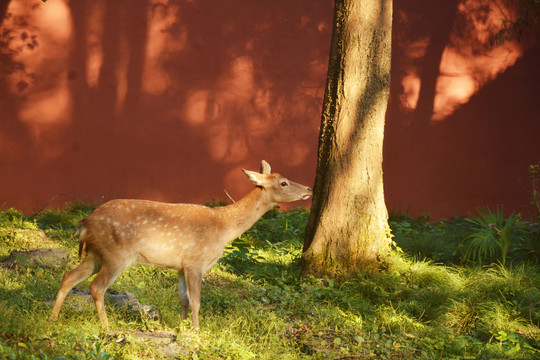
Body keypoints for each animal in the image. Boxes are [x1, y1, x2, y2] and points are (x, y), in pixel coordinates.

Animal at [50, 162, 314, 330]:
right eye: (283, 182)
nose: (309, 188)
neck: (223, 228)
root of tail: (85, 223)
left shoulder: (180, 266)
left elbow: (184, 299)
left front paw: (183, 327)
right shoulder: (196, 261)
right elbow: (197, 300)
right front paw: (198, 332)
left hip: (96, 254)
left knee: (69, 276)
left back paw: (52, 319)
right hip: (117, 254)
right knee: (96, 287)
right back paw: (106, 328)